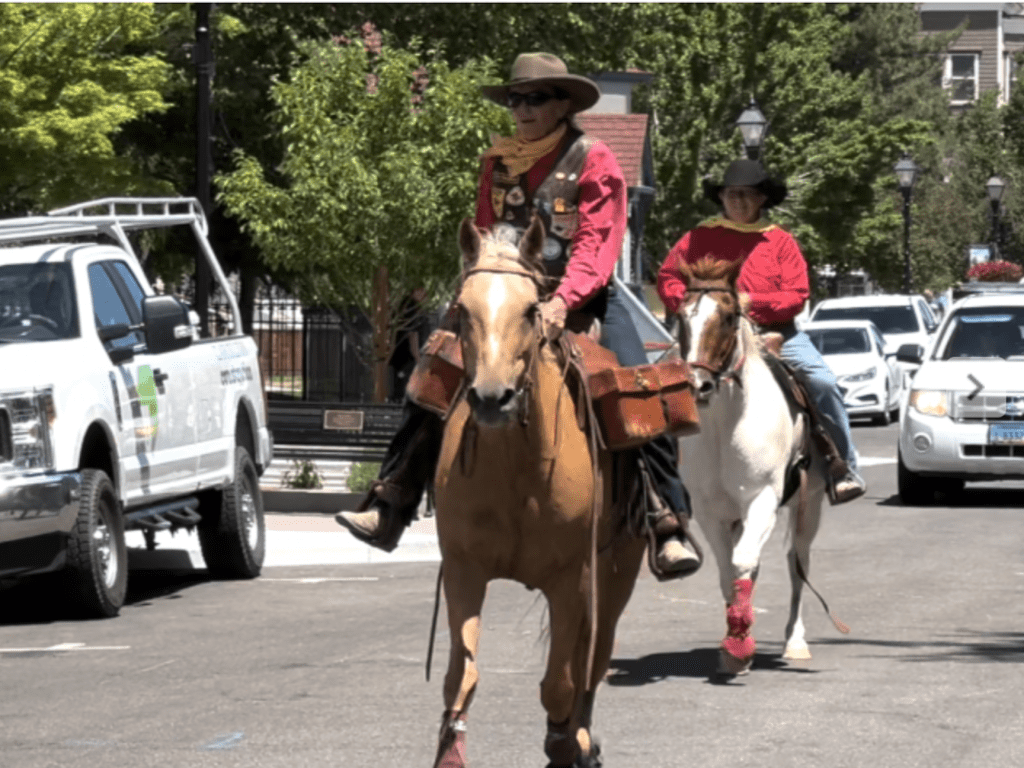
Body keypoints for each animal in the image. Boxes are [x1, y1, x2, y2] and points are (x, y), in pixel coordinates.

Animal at [431, 217, 646, 767]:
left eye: (531, 310)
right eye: (462, 308)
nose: (492, 398)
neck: (516, 470)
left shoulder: (571, 579)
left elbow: (561, 682)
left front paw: (564, 743)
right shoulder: (464, 569)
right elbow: (461, 675)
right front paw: (450, 751)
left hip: (618, 569)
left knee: (595, 654)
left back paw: (583, 737)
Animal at [674, 256, 832, 676]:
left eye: (729, 316)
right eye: (680, 316)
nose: (697, 384)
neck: (724, 426)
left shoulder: (762, 500)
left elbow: (744, 561)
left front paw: (740, 645)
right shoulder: (710, 513)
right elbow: (730, 572)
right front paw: (735, 646)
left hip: (808, 506)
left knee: (797, 563)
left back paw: (795, 641)